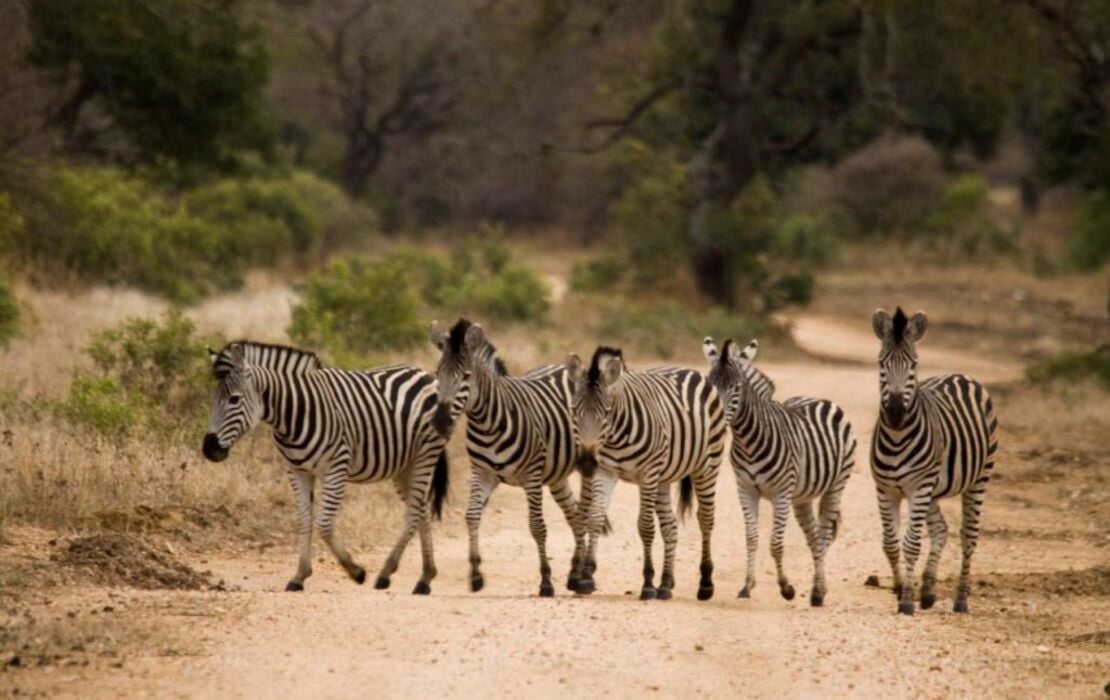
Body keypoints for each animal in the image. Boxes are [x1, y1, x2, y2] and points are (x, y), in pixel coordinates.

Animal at [204, 341, 450, 594]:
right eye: (212, 399)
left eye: (234, 399)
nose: (209, 449)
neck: (292, 415)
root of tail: (422, 373)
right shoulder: (297, 472)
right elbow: (304, 520)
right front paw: (299, 576)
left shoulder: (336, 468)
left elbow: (323, 524)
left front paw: (356, 571)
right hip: (404, 466)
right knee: (421, 510)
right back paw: (425, 577)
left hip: (425, 454)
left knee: (413, 513)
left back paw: (386, 573)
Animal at [428, 317, 590, 599]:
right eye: (438, 375)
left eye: (466, 376)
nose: (440, 422)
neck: (487, 423)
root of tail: (560, 366)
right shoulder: (482, 474)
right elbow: (471, 516)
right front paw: (475, 575)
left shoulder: (532, 476)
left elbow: (537, 526)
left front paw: (546, 582)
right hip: (557, 475)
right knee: (575, 513)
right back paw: (575, 576)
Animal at [563, 348, 728, 599]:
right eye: (574, 411)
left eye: (606, 413)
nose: (586, 463)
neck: (615, 435)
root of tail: (688, 370)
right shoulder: (605, 471)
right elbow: (596, 518)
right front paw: (587, 577)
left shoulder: (648, 474)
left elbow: (645, 526)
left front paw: (648, 583)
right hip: (664, 477)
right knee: (670, 525)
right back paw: (666, 584)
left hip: (707, 467)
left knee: (706, 519)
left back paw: (705, 584)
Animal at [701, 337, 856, 603]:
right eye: (711, 386)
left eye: (736, 388)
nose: (715, 421)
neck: (749, 442)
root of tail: (819, 399)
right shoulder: (746, 490)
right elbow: (752, 538)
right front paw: (747, 586)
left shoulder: (781, 493)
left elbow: (775, 543)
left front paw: (786, 588)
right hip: (802, 497)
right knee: (814, 538)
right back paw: (818, 588)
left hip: (836, 486)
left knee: (824, 534)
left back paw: (818, 592)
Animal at [870, 308, 1003, 616]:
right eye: (881, 363)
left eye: (913, 364)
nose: (895, 414)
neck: (896, 438)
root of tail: (961, 375)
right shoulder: (885, 489)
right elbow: (891, 543)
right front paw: (899, 589)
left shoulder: (918, 487)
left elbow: (911, 544)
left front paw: (906, 601)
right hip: (931, 490)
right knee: (941, 529)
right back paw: (928, 593)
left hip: (978, 479)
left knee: (968, 536)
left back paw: (960, 601)